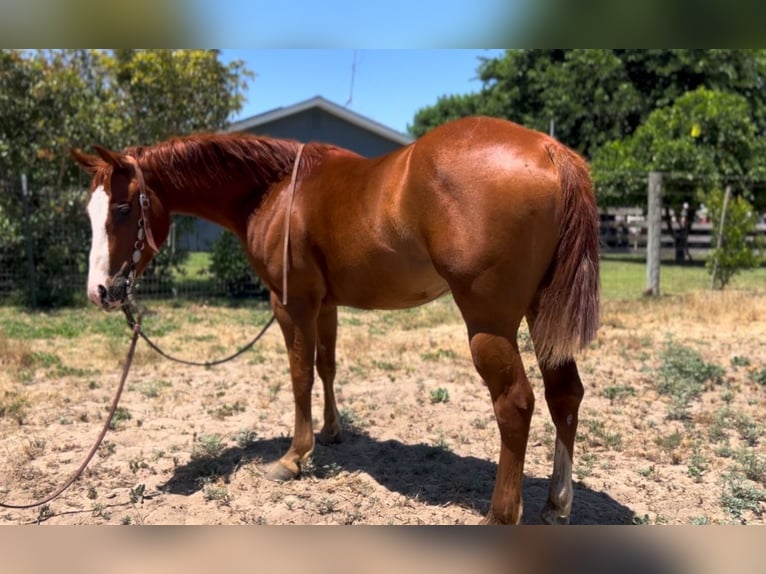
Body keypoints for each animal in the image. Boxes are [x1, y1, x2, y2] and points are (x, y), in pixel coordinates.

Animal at [71, 116, 600, 525]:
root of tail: (549, 150)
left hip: (489, 323)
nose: (100, 291)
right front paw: (330, 433)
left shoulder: (291, 305)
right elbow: (326, 366)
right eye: (90, 213)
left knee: (515, 404)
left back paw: (500, 515)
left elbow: (299, 375)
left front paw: (293, 457)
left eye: (123, 208)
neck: (275, 191)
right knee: (564, 395)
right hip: (542, 314)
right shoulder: (325, 305)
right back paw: (557, 502)